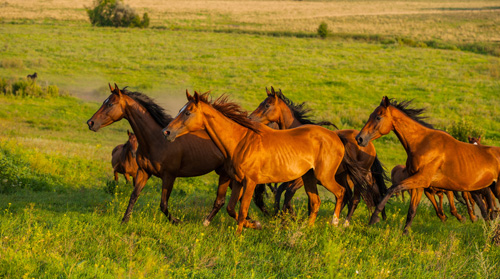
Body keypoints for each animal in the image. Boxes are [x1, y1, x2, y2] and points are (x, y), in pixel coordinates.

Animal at [86, 83, 262, 228]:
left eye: (110, 103)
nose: (90, 123)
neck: (156, 141)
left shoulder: (169, 176)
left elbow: (163, 204)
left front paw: (177, 221)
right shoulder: (143, 172)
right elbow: (134, 196)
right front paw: (124, 221)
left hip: (226, 175)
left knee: (224, 201)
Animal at [162, 91, 370, 234]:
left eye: (188, 112)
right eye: (181, 110)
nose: (166, 131)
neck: (240, 141)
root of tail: (336, 136)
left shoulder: (251, 182)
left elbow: (243, 209)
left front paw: (238, 236)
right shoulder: (237, 181)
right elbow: (231, 208)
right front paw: (254, 224)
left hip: (324, 176)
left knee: (341, 192)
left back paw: (335, 222)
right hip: (309, 177)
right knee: (315, 201)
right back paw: (306, 229)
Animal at [250, 87, 386, 223]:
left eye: (267, 105)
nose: (251, 118)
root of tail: (368, 144)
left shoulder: (301, 179)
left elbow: (289, 193)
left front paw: (289, 218)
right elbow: (283, 192)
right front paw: (284, 216)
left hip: (358, 177)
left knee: (356, 198)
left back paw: (343, 222)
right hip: (343, 177)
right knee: (347, 195)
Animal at [356, 97, 500, 233]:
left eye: (378, 117)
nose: (359, 138)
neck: (422, 143)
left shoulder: (422, 179)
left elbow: (392, 189)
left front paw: (374, 219)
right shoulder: (419, 186)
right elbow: (412, 211)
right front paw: (405, 234)